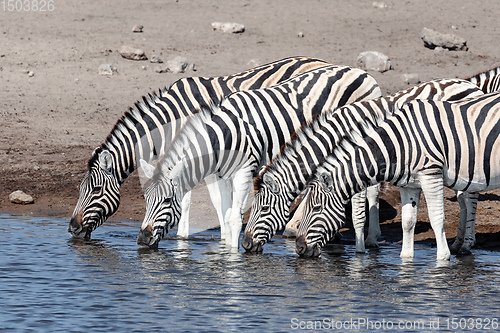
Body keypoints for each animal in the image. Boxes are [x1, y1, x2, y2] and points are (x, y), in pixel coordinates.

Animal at [66, 56, 332, 239]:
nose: (72, 229)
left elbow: (191, 199)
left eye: (96, 190)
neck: (171, 118)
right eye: (80, 189)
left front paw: (186, 237)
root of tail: (320, 61)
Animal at [137, 64, 378, 246]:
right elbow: (226, 213)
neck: (223, 135)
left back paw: (371, 239)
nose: (141, 240)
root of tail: (360, 71)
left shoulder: (244, 171)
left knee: (371, 189)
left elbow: (235, 218)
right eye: (146, 200)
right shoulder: (222, 173)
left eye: (167, 200)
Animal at [242, 78, 484, 252]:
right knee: (464, 197)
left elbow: (358, 207)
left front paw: (361, 247)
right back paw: (458, 242)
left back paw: (467, 243)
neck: (334, 137)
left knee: (470, 198)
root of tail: (473, 87)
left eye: (263, 209)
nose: (244, 244)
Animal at [294, 91, 500, 260]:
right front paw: (406, 260)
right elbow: (408, 222)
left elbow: (436, 218)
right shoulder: (409, 184)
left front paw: (443, 258)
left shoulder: (431, 175)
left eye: (317, 208)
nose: (299, 248)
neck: (400, 144)